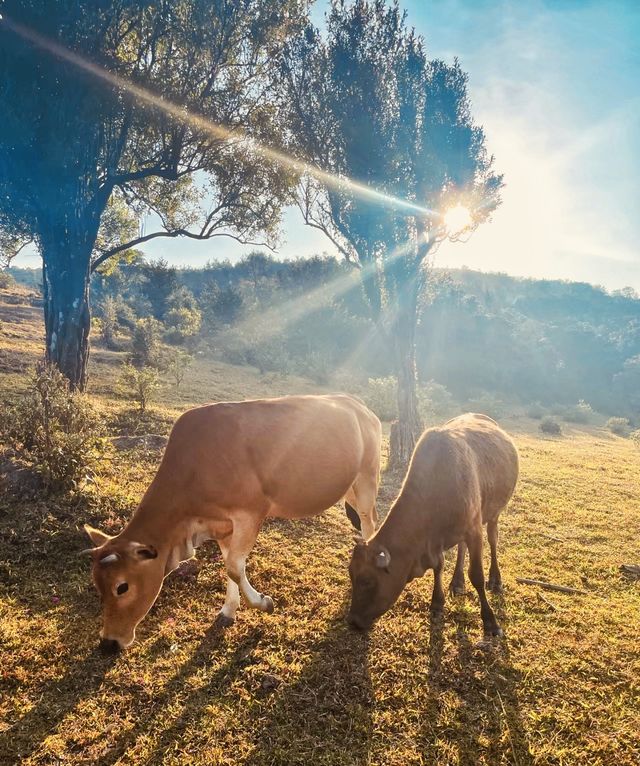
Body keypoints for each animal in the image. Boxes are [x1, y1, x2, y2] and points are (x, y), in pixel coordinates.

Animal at [82, 396, 378, 656]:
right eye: (96, 585)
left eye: (122, 587)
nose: (108, 643)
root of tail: (358, 404)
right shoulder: (221, 525)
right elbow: (229, 567)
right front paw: (228, 610)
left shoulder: (250, 513)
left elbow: (235, 567)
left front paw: (262, 602)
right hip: (348, 488)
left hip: (366, 479)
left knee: (369, 523)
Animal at [344, 416, 520, 640]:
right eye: (351, 574)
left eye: (367, 581)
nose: (352, 621)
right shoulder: (435, 541)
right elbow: (439, 566)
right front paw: (437, 603)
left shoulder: (473, 530)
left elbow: (477, 576)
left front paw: (490, 622)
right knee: (461, 548)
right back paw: (457, 581)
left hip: (494, 513)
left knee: (493, 539)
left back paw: (495, 579)